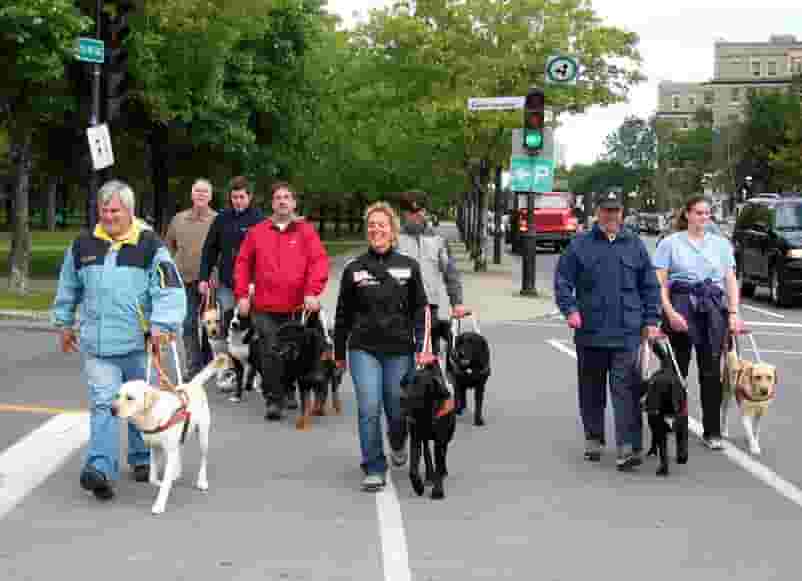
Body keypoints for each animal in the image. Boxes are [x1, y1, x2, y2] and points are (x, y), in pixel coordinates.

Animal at [398, 362, 454, 498]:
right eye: (404, 383)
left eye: (417, 383)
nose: (401, 398)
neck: (424, 414)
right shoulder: (415, 438)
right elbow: (413, 469)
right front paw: (418, 487)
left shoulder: (440, 439)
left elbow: (439, 463)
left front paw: (438, 491)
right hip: (424, 437)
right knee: (427, 451)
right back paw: (429, 477)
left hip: (449, 434)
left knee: (443, 453)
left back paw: (442, 472)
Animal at [636, 340, 688, 476]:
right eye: (649, 386)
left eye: (654, 388)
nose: (643, 404)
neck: (668, 409)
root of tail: (665, 369)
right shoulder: (661, 429)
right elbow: (663, 451)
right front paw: (663, 468)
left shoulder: (682, 426)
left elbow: (682, 443)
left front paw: (682, 457)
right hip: (653, 423)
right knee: (655, 439)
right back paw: (652, 451)